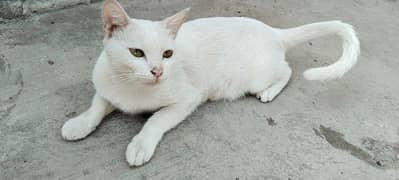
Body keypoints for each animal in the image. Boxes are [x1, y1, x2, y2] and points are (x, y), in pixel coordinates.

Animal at [61, 0, 360, 166]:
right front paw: (79, 124)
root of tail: (271, 30)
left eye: (167, 54)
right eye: (136, 53)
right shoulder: (106, 87)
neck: (131, 88)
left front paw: (141, 144)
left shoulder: (188, 98)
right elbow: (97, 106)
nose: (158, 71)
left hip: (256, 75)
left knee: (287, 71)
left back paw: (269, 92)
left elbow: (156, 120)